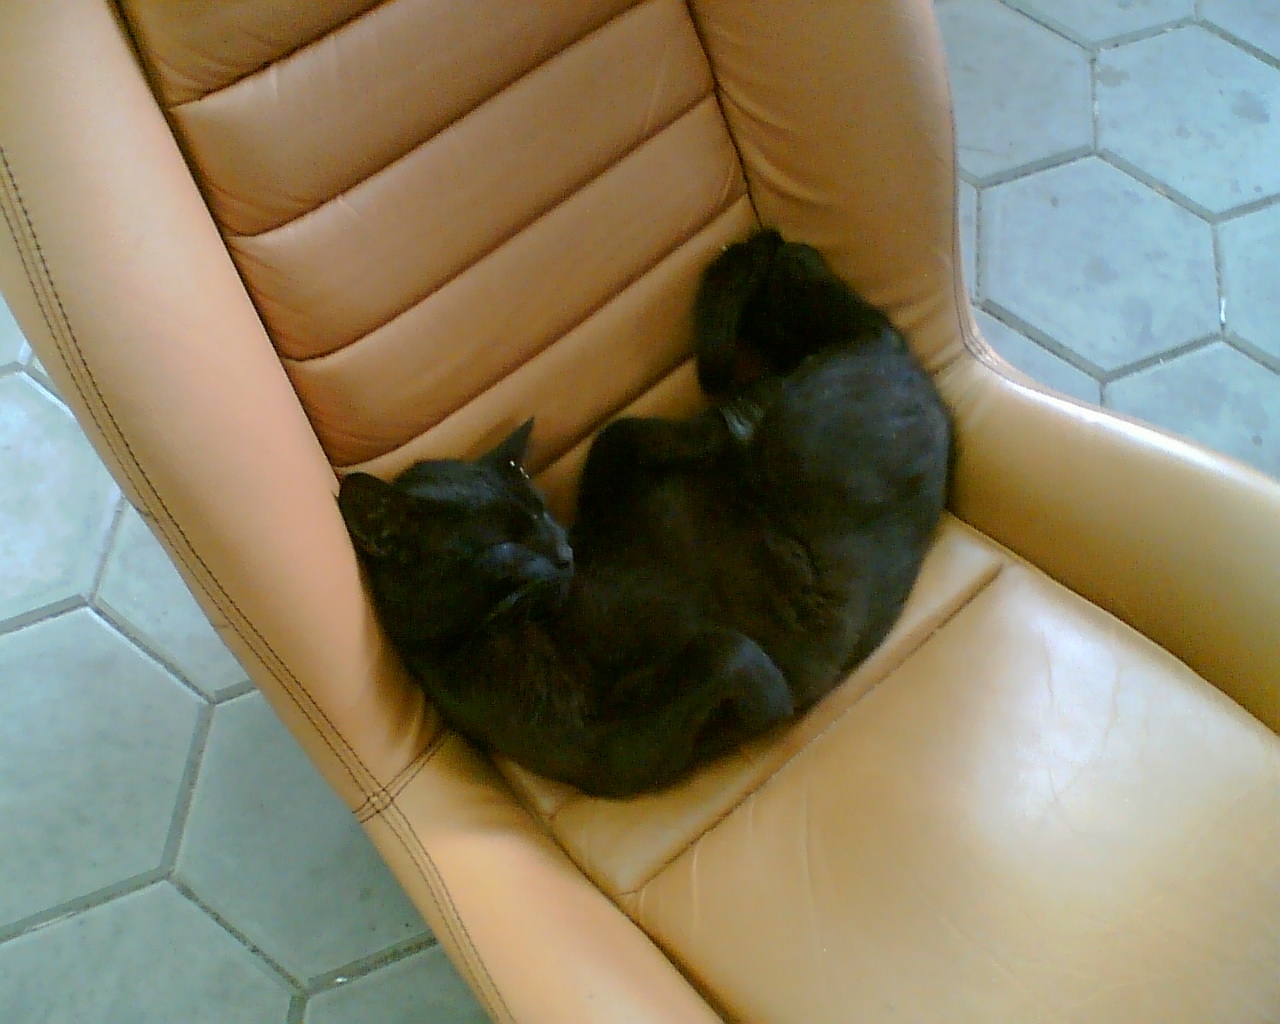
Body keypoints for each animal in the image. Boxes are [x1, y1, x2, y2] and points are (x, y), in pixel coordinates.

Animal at [339, 229, 952, 798]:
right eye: (502, 542)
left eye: (541, 512)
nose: (563, 554)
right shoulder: (613, 744)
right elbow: (726, 650)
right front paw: (774, 695)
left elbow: (614, 438)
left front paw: (709, 433)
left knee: (795, 269)